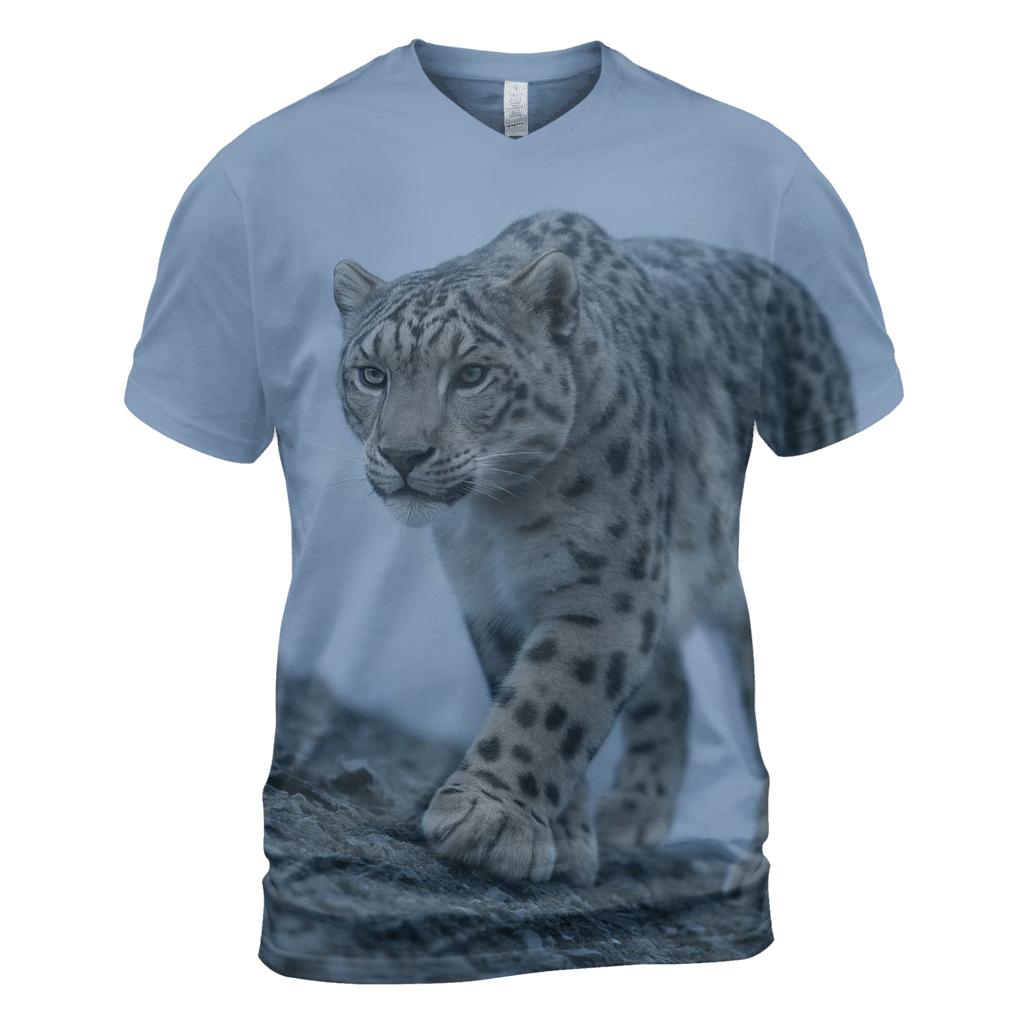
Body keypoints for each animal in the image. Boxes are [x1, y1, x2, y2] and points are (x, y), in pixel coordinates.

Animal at [332, 210, 852, 885]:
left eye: (472, 374)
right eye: (372, 375)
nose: (402, 455)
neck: (494, 520)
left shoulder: (608, 586)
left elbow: (551, 698)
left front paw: (487, 821)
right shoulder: (490, 599)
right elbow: (529, 692)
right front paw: (562, 839)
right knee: (670, 687)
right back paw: (633, 811)